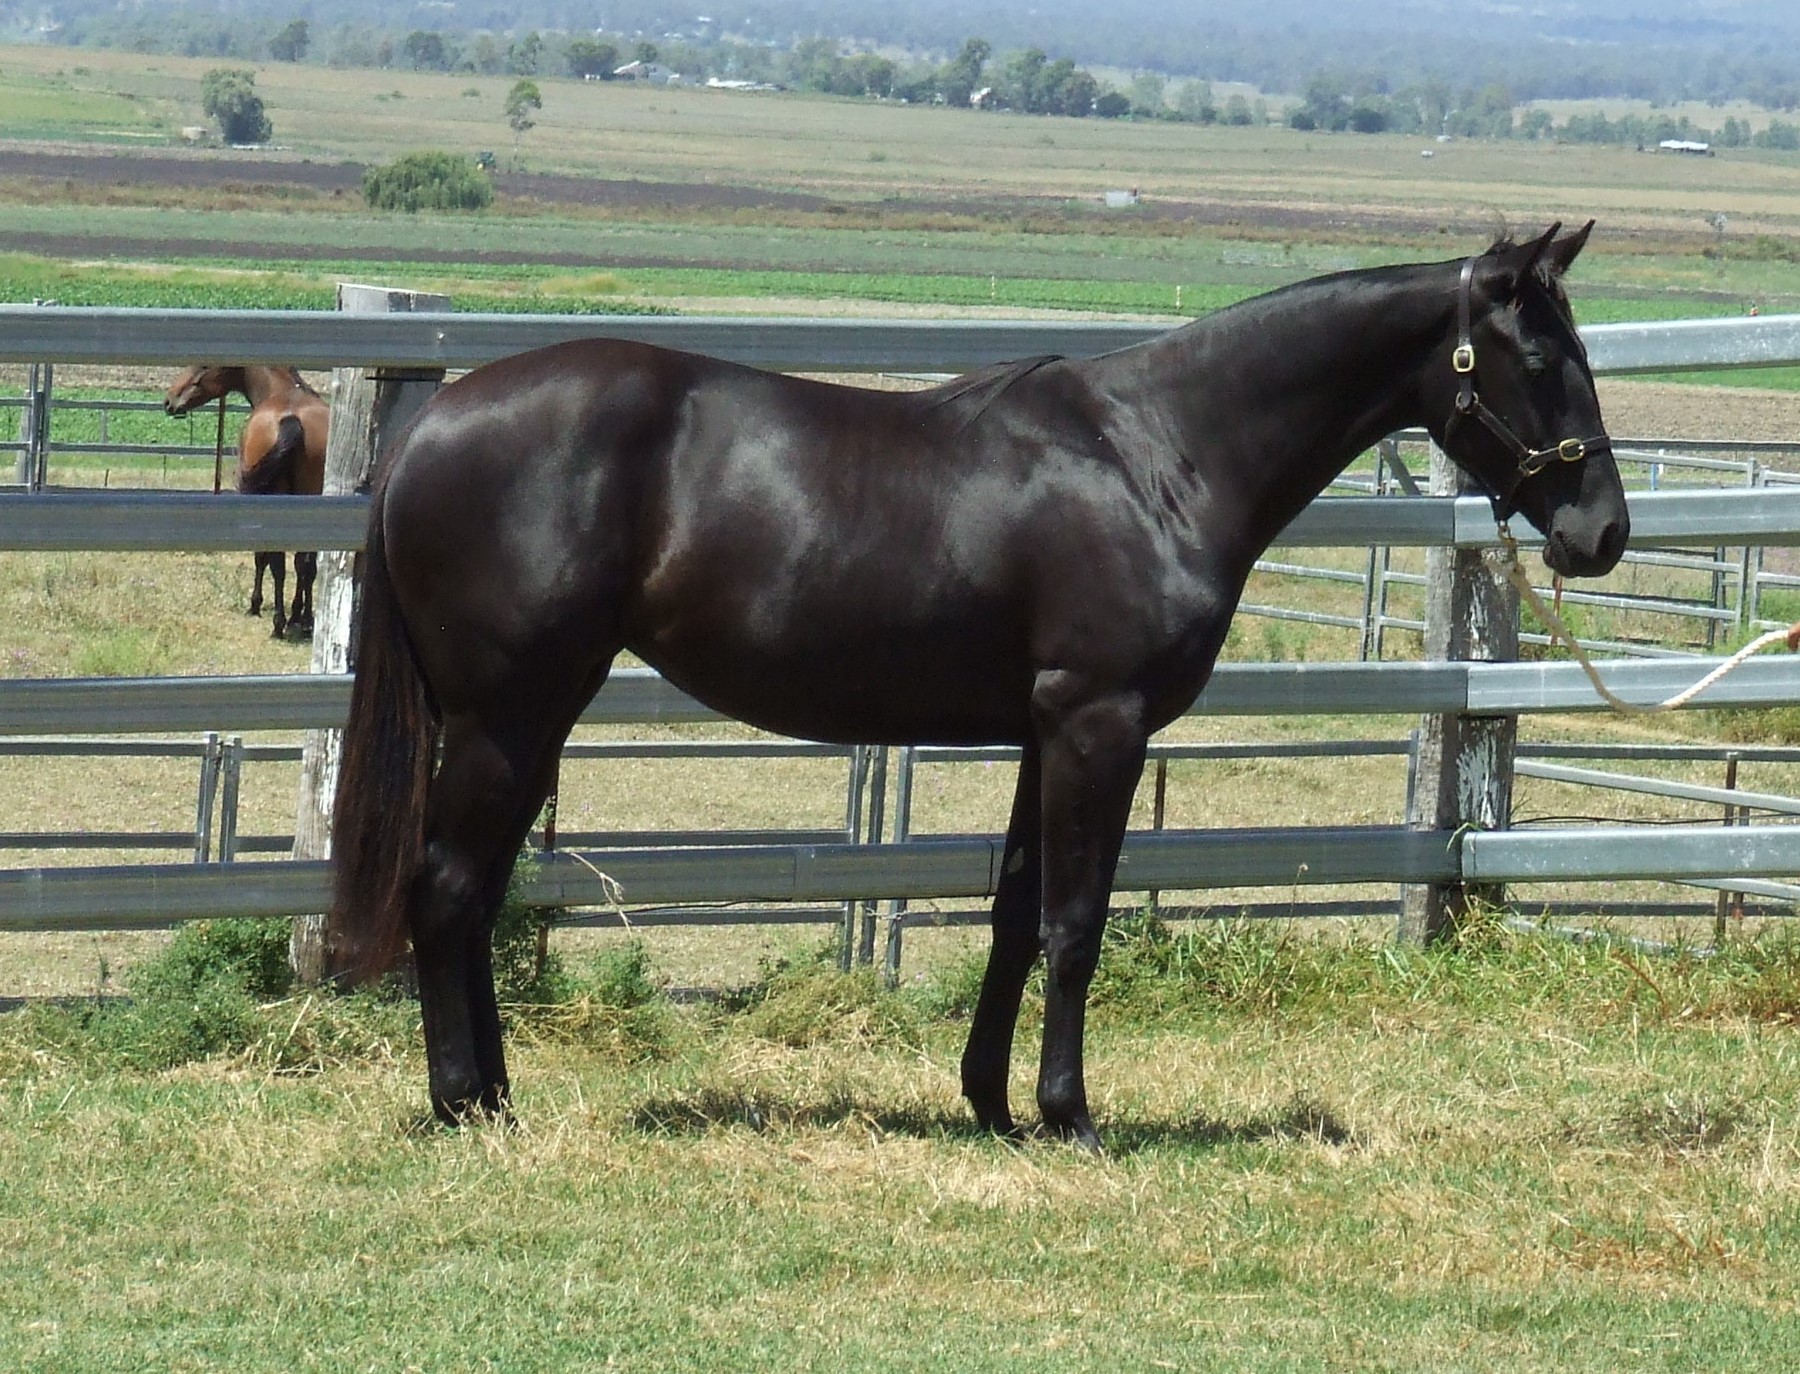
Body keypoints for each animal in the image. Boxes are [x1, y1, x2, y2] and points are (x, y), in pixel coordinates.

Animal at [163, 364, 330, 638]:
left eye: (204, 365)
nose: (169, 401)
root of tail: (291, 420)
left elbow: (261, 557)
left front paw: (256, 604)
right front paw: (298, 616)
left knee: (279, 563)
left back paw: (279, 623)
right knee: (304, 564)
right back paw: (302, 621)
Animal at [331, 223, 1629, 1147]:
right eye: (1539, 356)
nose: (1603, 532)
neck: (1158, 454)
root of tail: (431, 425)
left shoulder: (1041, 731)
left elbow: (1014, 910)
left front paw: (994, 1104)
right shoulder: (1100, 725)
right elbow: (1075, 921)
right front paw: (1072, 1116)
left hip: (524, 719)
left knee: (473, 893)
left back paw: (494, 1094)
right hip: (507, 715)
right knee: (448, 890)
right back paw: (465, 1104)